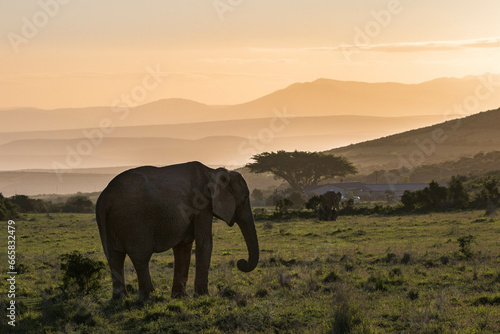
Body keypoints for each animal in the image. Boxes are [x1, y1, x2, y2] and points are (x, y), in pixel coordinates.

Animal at [94, 160, 260, 298]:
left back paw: (121, 299)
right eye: (245, 198)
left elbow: (183, 246)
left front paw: (180, 297)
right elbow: (204, 242)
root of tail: (104, 199)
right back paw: (150, 297)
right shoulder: (202, 203)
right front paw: (203, 296)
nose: (241, 263)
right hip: (134, 220)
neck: (211, 171)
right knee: (140, 256)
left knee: (114, 256)